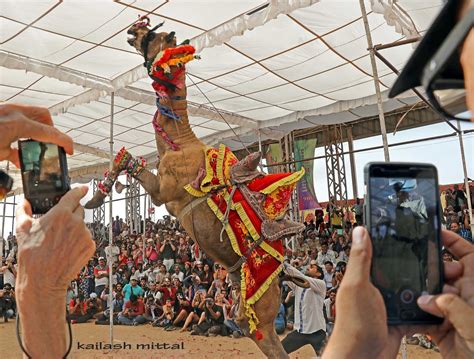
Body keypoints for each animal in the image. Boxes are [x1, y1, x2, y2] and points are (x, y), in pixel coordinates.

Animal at [85, 16, 306, 359]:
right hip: (243, 293)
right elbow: (124, 157)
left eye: (156, 36)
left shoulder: (164, 193)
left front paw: (94, 199)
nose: (133, 30)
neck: (177, 142)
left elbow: (127, 159)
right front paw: (95, 197)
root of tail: (285, 272)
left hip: (263, 304)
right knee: (247, 325)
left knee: (267, 338)